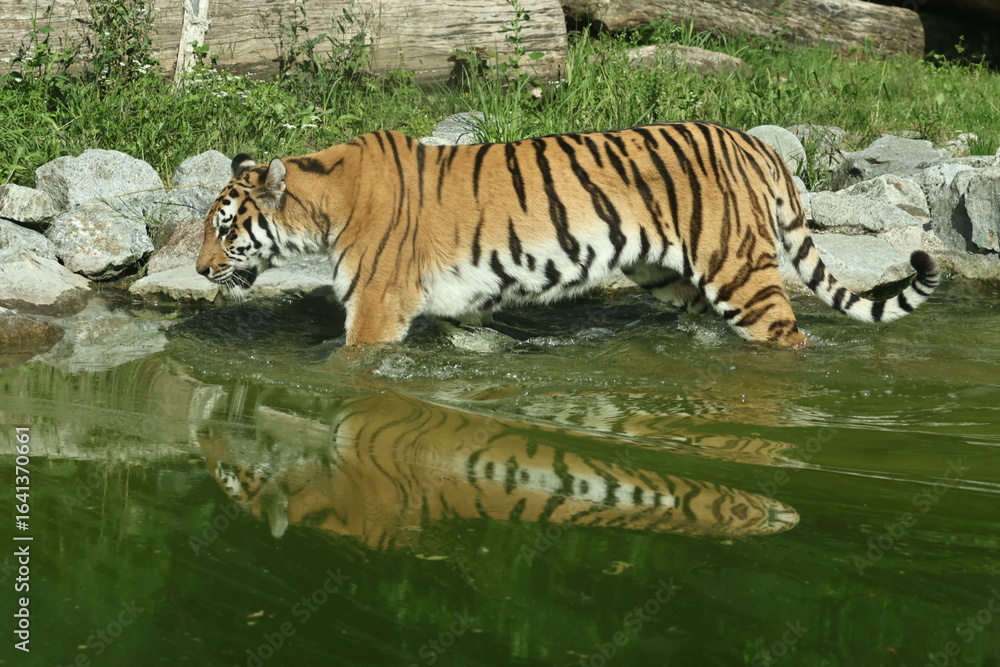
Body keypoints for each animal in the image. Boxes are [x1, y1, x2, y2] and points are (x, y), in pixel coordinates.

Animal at [195, 121, 940, 347]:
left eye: (226, 229)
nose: (200, 271)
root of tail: (754, 142)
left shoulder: (377, 307)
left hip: (741, 273)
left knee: (789, 337)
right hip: (668, 275)